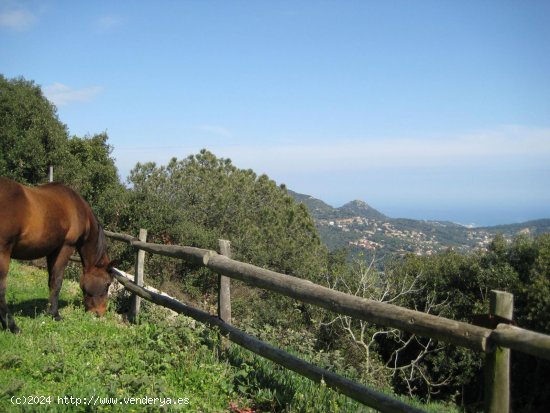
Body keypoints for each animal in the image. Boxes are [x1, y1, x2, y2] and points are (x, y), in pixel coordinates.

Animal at [0, 177, 115, 332]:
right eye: (108, 283)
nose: (100, 313)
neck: (77, 208)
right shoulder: (65, 247)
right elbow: (57, 281)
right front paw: (55, 315)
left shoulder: (52, 251)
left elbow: (51, 281)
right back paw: (12, 326)